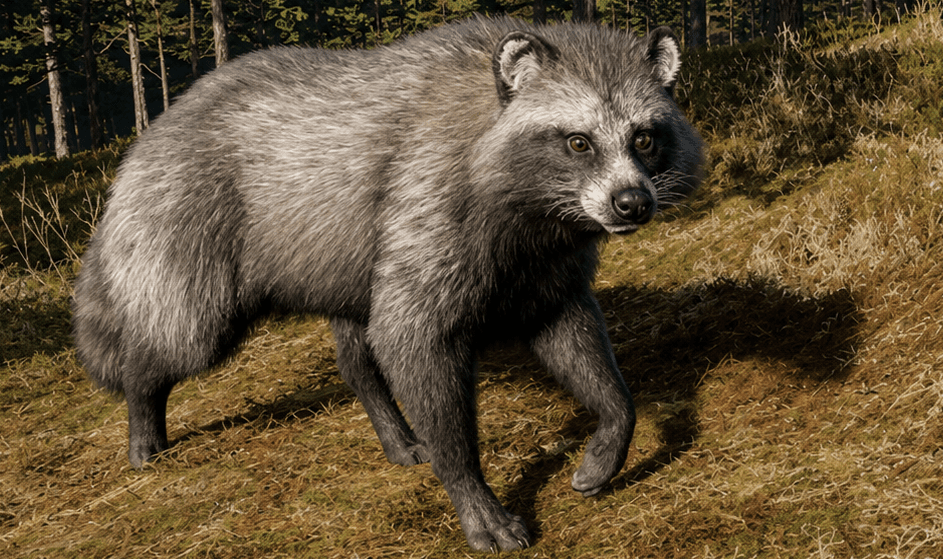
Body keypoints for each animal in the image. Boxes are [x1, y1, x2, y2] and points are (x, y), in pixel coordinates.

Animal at [72, 16, 704, 552]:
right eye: (578, 141)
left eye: (644, 138)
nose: (633, 203)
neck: (542, 213)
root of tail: (146, 140)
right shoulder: (427, 202)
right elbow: (414, 341)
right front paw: (472, 493)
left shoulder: (543, 266)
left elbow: (575, 341)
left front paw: (613, 432)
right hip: (189, 228)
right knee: (183, 335)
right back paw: (142, 405)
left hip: (346, 261)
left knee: (358, 352)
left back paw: (392, 429)